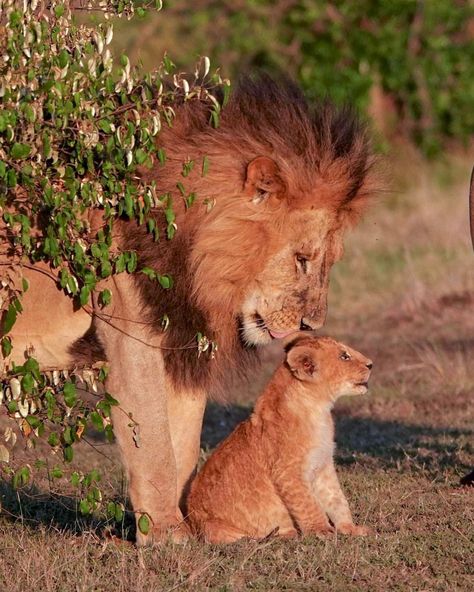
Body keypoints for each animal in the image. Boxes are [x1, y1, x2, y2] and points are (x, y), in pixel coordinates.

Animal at [2, 76, 374, 544]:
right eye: (302, 259)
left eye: (329, 262)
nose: (311, 324)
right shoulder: (133, 334)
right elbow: (155, 442)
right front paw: (167, 534)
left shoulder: (182, 343)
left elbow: (183, 439)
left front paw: (187, 525)